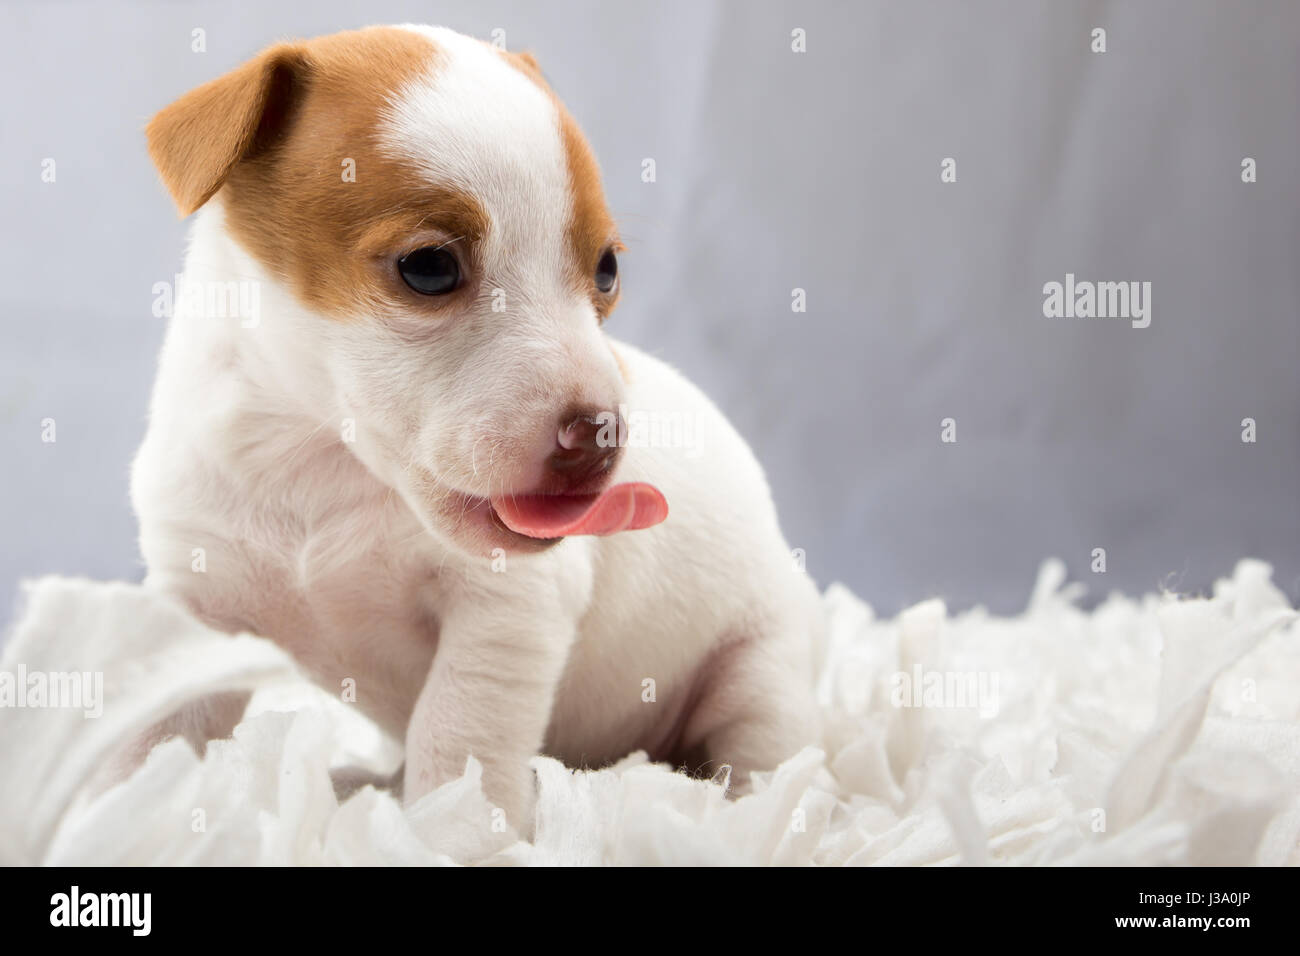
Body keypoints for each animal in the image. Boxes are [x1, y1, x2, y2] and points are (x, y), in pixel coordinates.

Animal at [131, 24, 821, 832]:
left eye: (607, 270)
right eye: (429, 267)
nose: (602, 434)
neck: (318, 458)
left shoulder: (507, 613)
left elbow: (461, 730)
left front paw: (455, 835)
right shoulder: (193, 606)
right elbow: (154, 732)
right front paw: (125, 812)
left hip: (761, 672)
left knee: (767, 754)